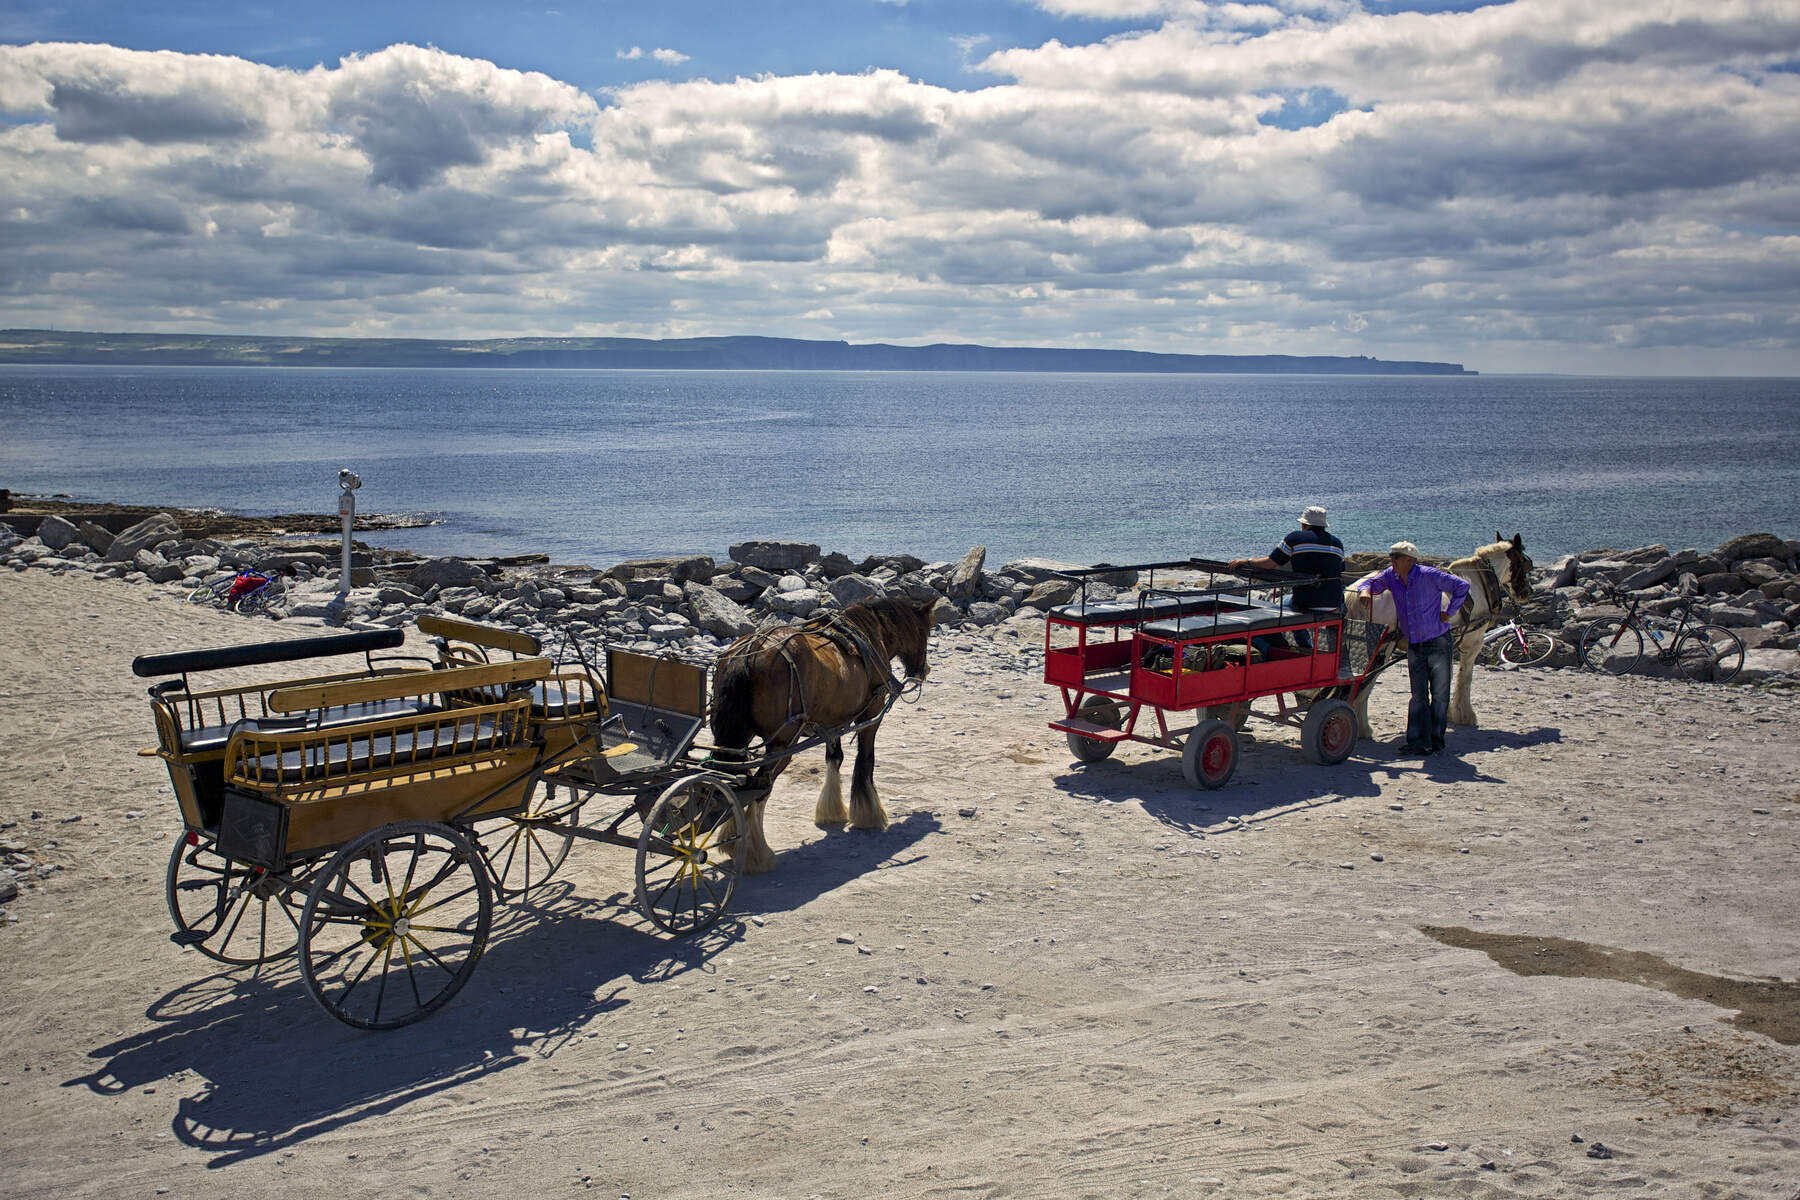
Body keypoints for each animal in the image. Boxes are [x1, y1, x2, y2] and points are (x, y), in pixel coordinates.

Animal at [705, 597, 928, 874]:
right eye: (926, 632)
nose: (924, 670)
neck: (870, 635)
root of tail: (749, 651)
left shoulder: (832, 723)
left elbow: (835, 758)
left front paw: (832, 811)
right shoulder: (871, 714)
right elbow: (865, 760)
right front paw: (869, 814)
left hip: (738, 738)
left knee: (733, 780)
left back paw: (735, 838)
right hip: (781, 745)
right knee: (759, 786)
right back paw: (757, 855)